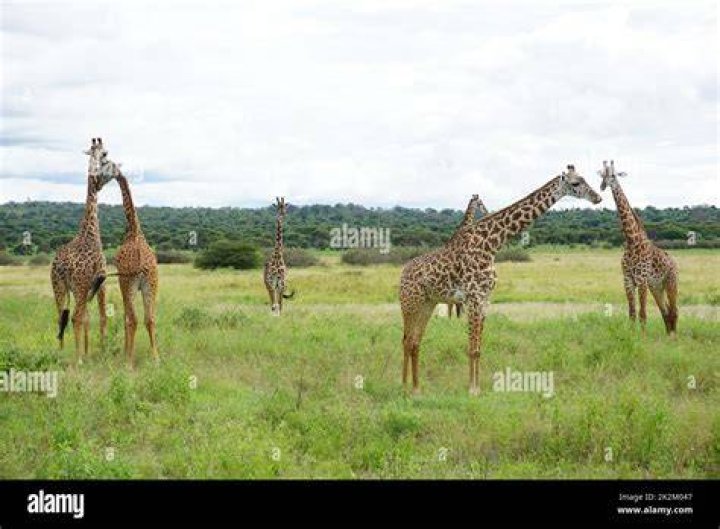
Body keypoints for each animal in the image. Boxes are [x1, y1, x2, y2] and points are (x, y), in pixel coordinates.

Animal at [50, 138, 113, 365]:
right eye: (105, 153)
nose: (100, 183)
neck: (90, 232)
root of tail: (59, 266)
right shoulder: (101, 282)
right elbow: (101, 317)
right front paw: (102, 352)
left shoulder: (90, 286)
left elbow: (87, 318)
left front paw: (87, 352)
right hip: (77, 285)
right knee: (75, 316)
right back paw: (77, 359)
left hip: (59, 286)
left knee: (61, 316)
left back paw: (60, 354)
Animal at [98, 152, 160, 367]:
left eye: (104, 166)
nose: (97, 184)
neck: (134, 230)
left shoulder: (122, 282)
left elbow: (126, 318)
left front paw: (125, 354)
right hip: (151, 285)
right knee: (150, 318)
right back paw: (156, 358)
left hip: (129, 283)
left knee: (132, 318)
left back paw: (129, 362)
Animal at [400, 165, 602, 395]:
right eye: (575, 183)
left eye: (584, 179)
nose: (598, 197)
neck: (491, 245)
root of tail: (402, 273)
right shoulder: (473, 297)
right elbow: (472, 347)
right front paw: (472, 390)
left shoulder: (485, 298)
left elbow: (478, 348)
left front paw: (477, 388)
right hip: (410, 303)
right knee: (407, 340)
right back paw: (404, 386)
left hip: (428, 303)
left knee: (415, 341)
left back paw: (416, 388)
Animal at [598, 160, 678, 335]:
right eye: (602, 175)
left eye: (614, 175)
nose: (603, 185)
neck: (631, 241)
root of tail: (674, 262)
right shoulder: (628, 280)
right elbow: (632, 312)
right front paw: (631, 335)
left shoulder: (641, 280)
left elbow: (642, 313)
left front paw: (642, 337)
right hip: (656, 286)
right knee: (665, 310)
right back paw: (668, 335)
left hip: (671, 282)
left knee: (674, 310)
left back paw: (674, 336)